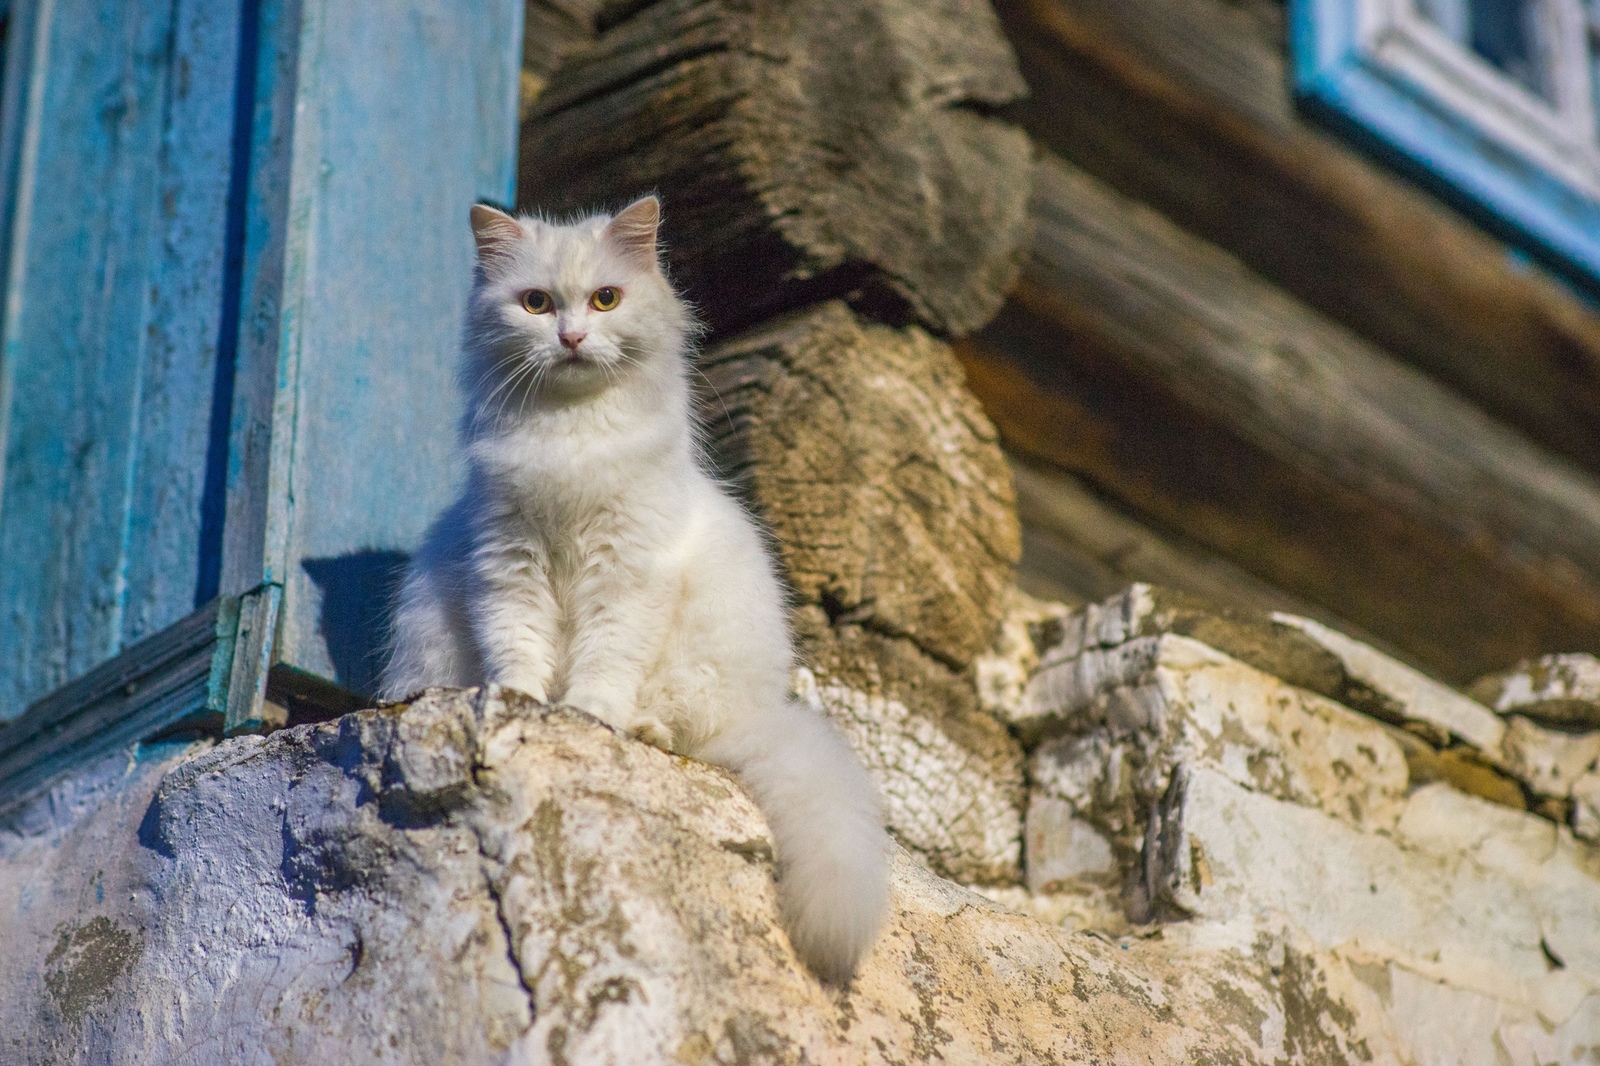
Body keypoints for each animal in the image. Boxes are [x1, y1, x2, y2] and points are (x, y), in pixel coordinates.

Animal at [382, 192, 896, 979]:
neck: (572, 439)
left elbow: (604, 658)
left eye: (606, 299)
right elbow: (518, 648)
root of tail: (764, 713)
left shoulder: (626, 570)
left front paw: (585, 711)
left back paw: (639, 727)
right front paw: (523, 700)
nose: (570, 337)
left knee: (681, 731)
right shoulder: (508, 560)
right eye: (535, 303)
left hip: (702, 674)